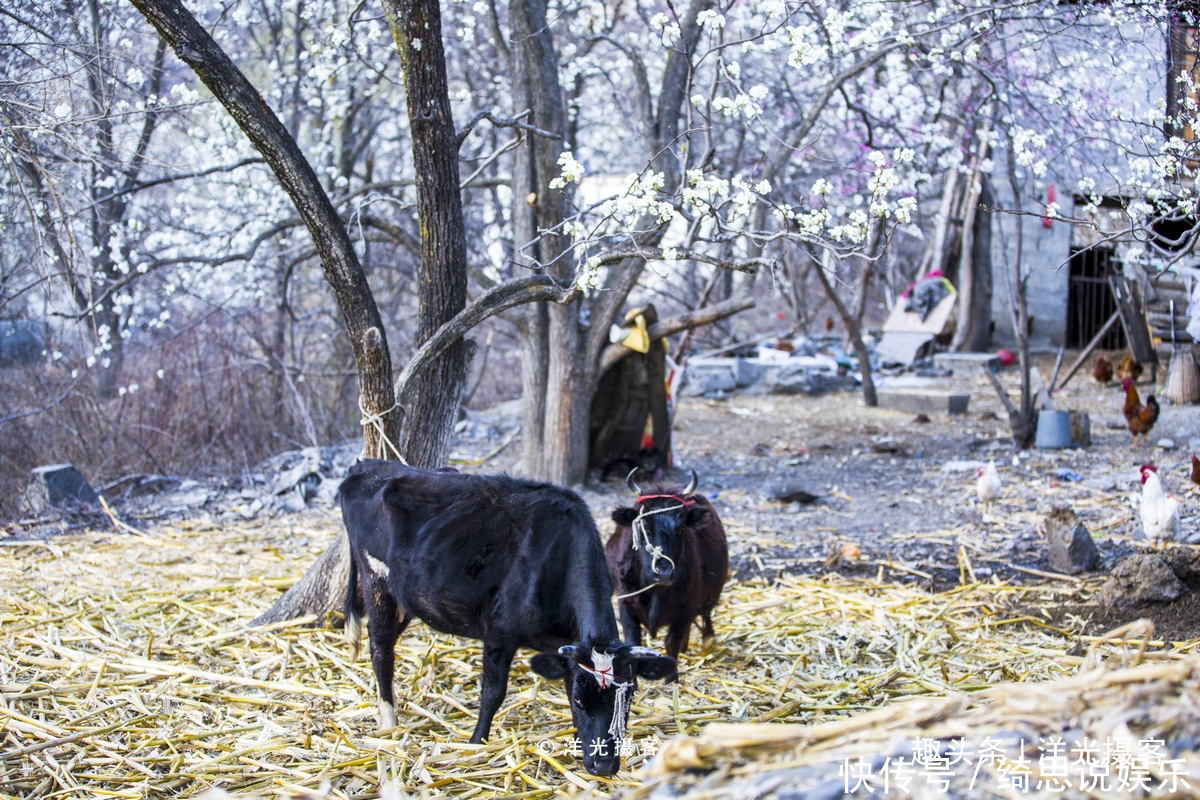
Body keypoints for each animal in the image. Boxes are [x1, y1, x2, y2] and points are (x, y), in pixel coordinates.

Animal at [340, 460, 676, 777]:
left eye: (629, 698)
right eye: (583, 700)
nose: (604, 766)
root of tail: (366, 466)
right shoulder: (500, 632)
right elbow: (493, 692)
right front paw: (477, 741)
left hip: (406, 596)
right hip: (376, 581)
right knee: (381, 648)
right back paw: (388, 719)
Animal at [604, 465, 724, 662]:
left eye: (681, 529)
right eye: (645, 528)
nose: (664, 573)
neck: (657, 592)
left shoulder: (685, 608)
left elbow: (671, 643)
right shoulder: (626, 605)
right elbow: (633, 642)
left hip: (711, 592)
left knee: (706, 616)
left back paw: (708, 641)